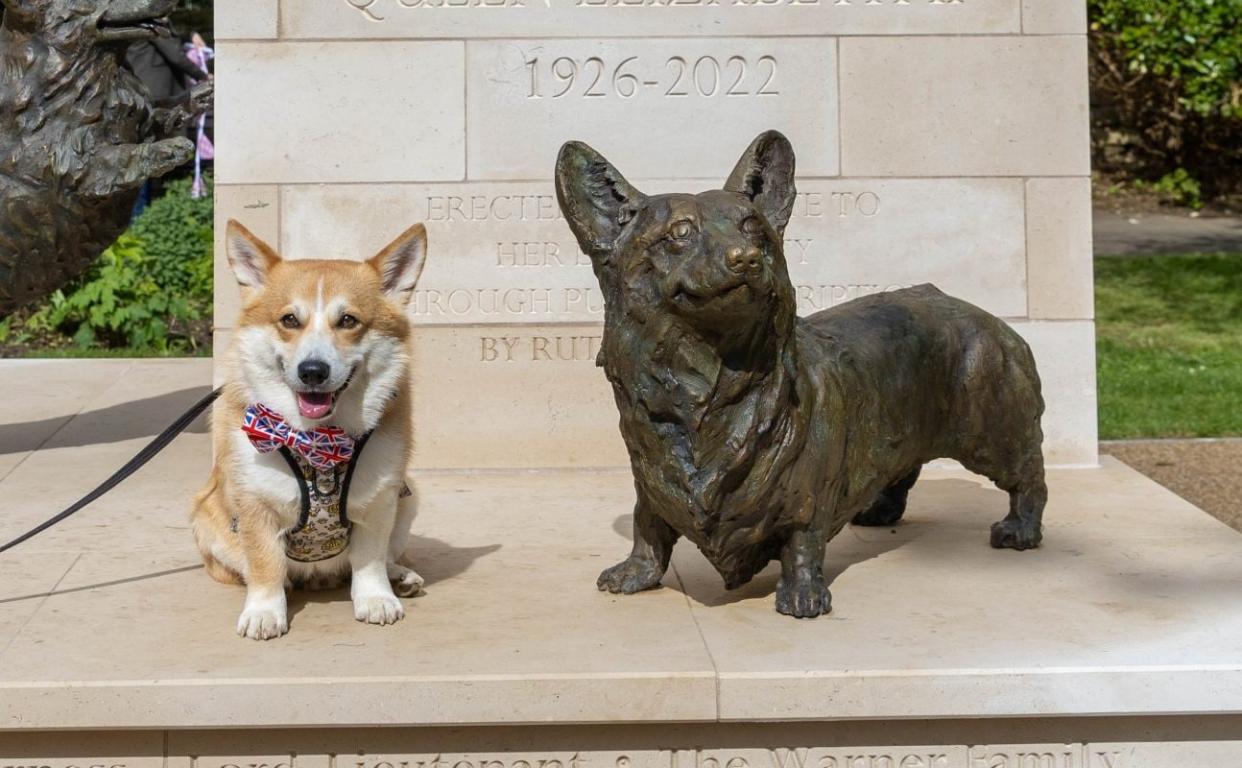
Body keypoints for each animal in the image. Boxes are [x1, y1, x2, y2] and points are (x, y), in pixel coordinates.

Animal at [191, 218, 427, 636]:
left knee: (380, 558)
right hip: (206, 517)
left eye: (348, 320)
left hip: (409, 497)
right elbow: (264, 564)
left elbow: (370, 561)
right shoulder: (255, 507)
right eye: (289, 320)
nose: (313, 371)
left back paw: (400, 576)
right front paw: (265, 612)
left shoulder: (380, 502)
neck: (318, 439)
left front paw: (377, 600)